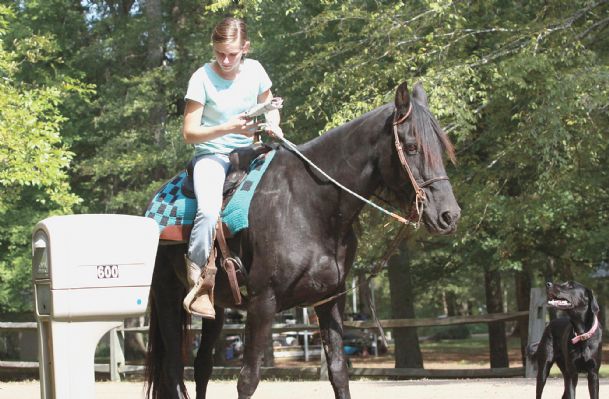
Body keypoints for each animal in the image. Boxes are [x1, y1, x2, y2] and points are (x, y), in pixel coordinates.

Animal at [146, 82, 460, 399]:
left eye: (440, 145)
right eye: (411, 147)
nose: (449, 215)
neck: (308, 204)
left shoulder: (331, 299)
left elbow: (338, 371)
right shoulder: (263, 302)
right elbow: (248, 379)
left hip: (217, 306)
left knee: (202, 366)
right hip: (166, 293)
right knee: (173, 368)